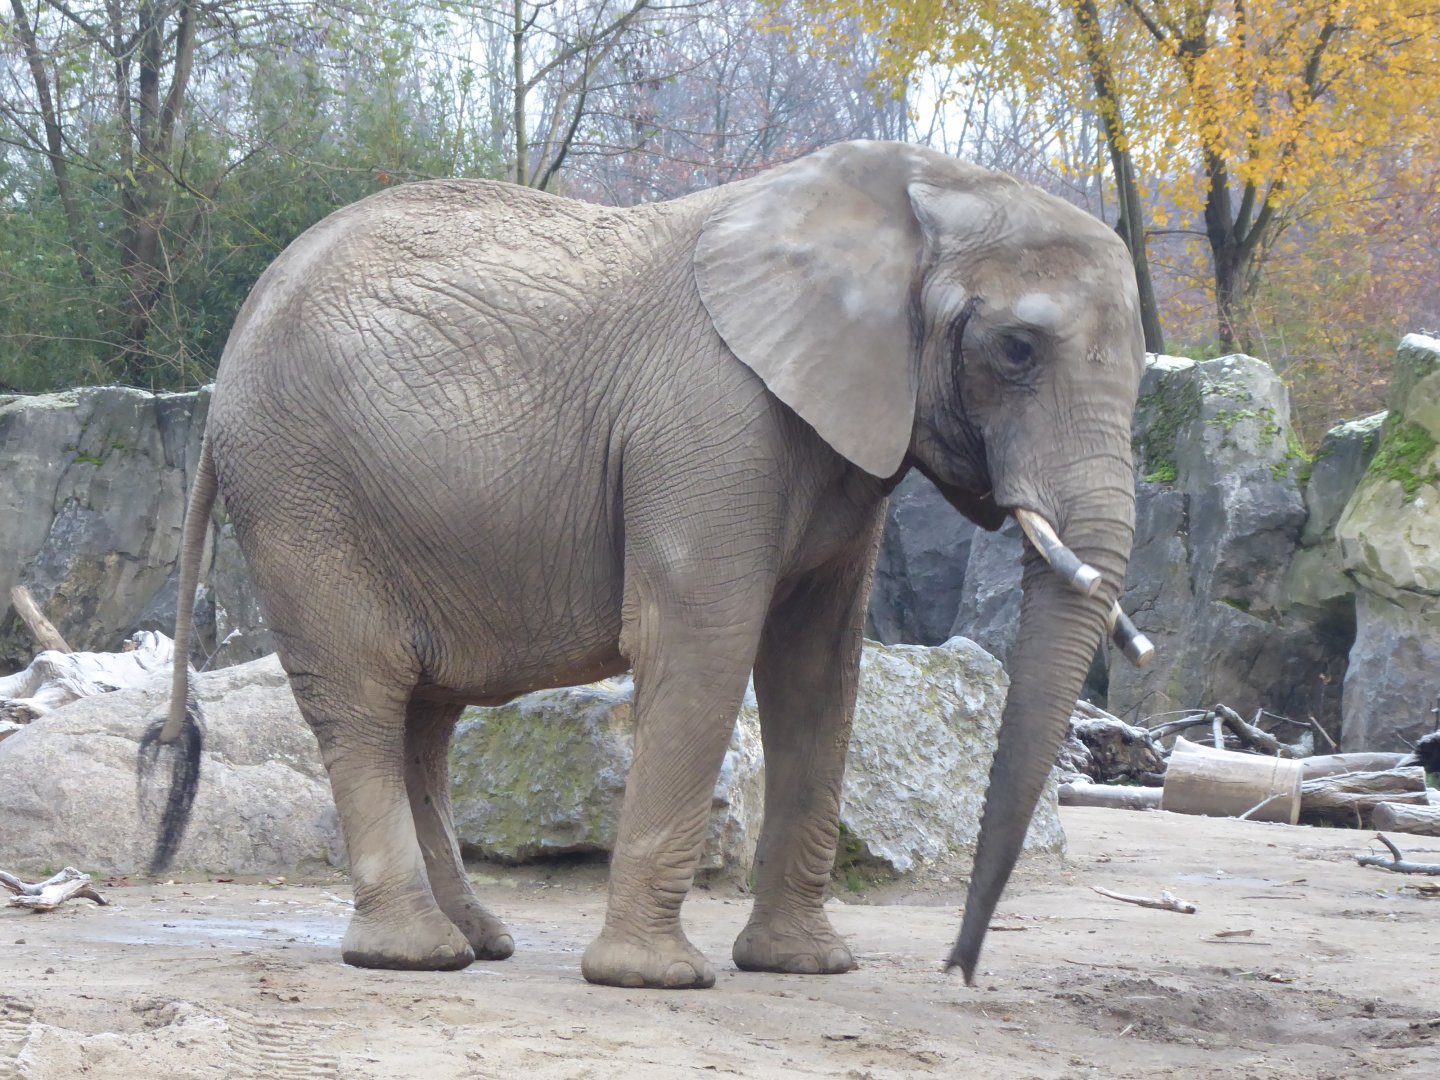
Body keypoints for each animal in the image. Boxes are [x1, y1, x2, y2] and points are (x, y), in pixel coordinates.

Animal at [148, 139, 1146, 990]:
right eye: (1016, 350)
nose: (960, 969)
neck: (914, 191)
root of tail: (227, 360)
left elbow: (818, 669)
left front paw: (806, 967)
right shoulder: (712, 416)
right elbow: (702, 640)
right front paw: (656, 977)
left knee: (422, 715)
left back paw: (478, 940)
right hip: (302, 491)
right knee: (364, 695)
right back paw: (416, 954)